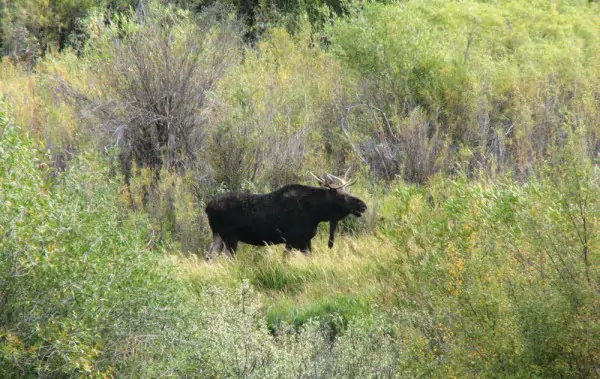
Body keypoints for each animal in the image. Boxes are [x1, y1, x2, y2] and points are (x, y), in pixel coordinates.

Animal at [205, 168, 366, 258]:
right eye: (341, 195)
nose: (363, 206)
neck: (316, 214)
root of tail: (208, 207)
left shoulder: (305, 241)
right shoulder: (292, 240)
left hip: (218, 236)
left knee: (209, 256)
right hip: (230, 237)